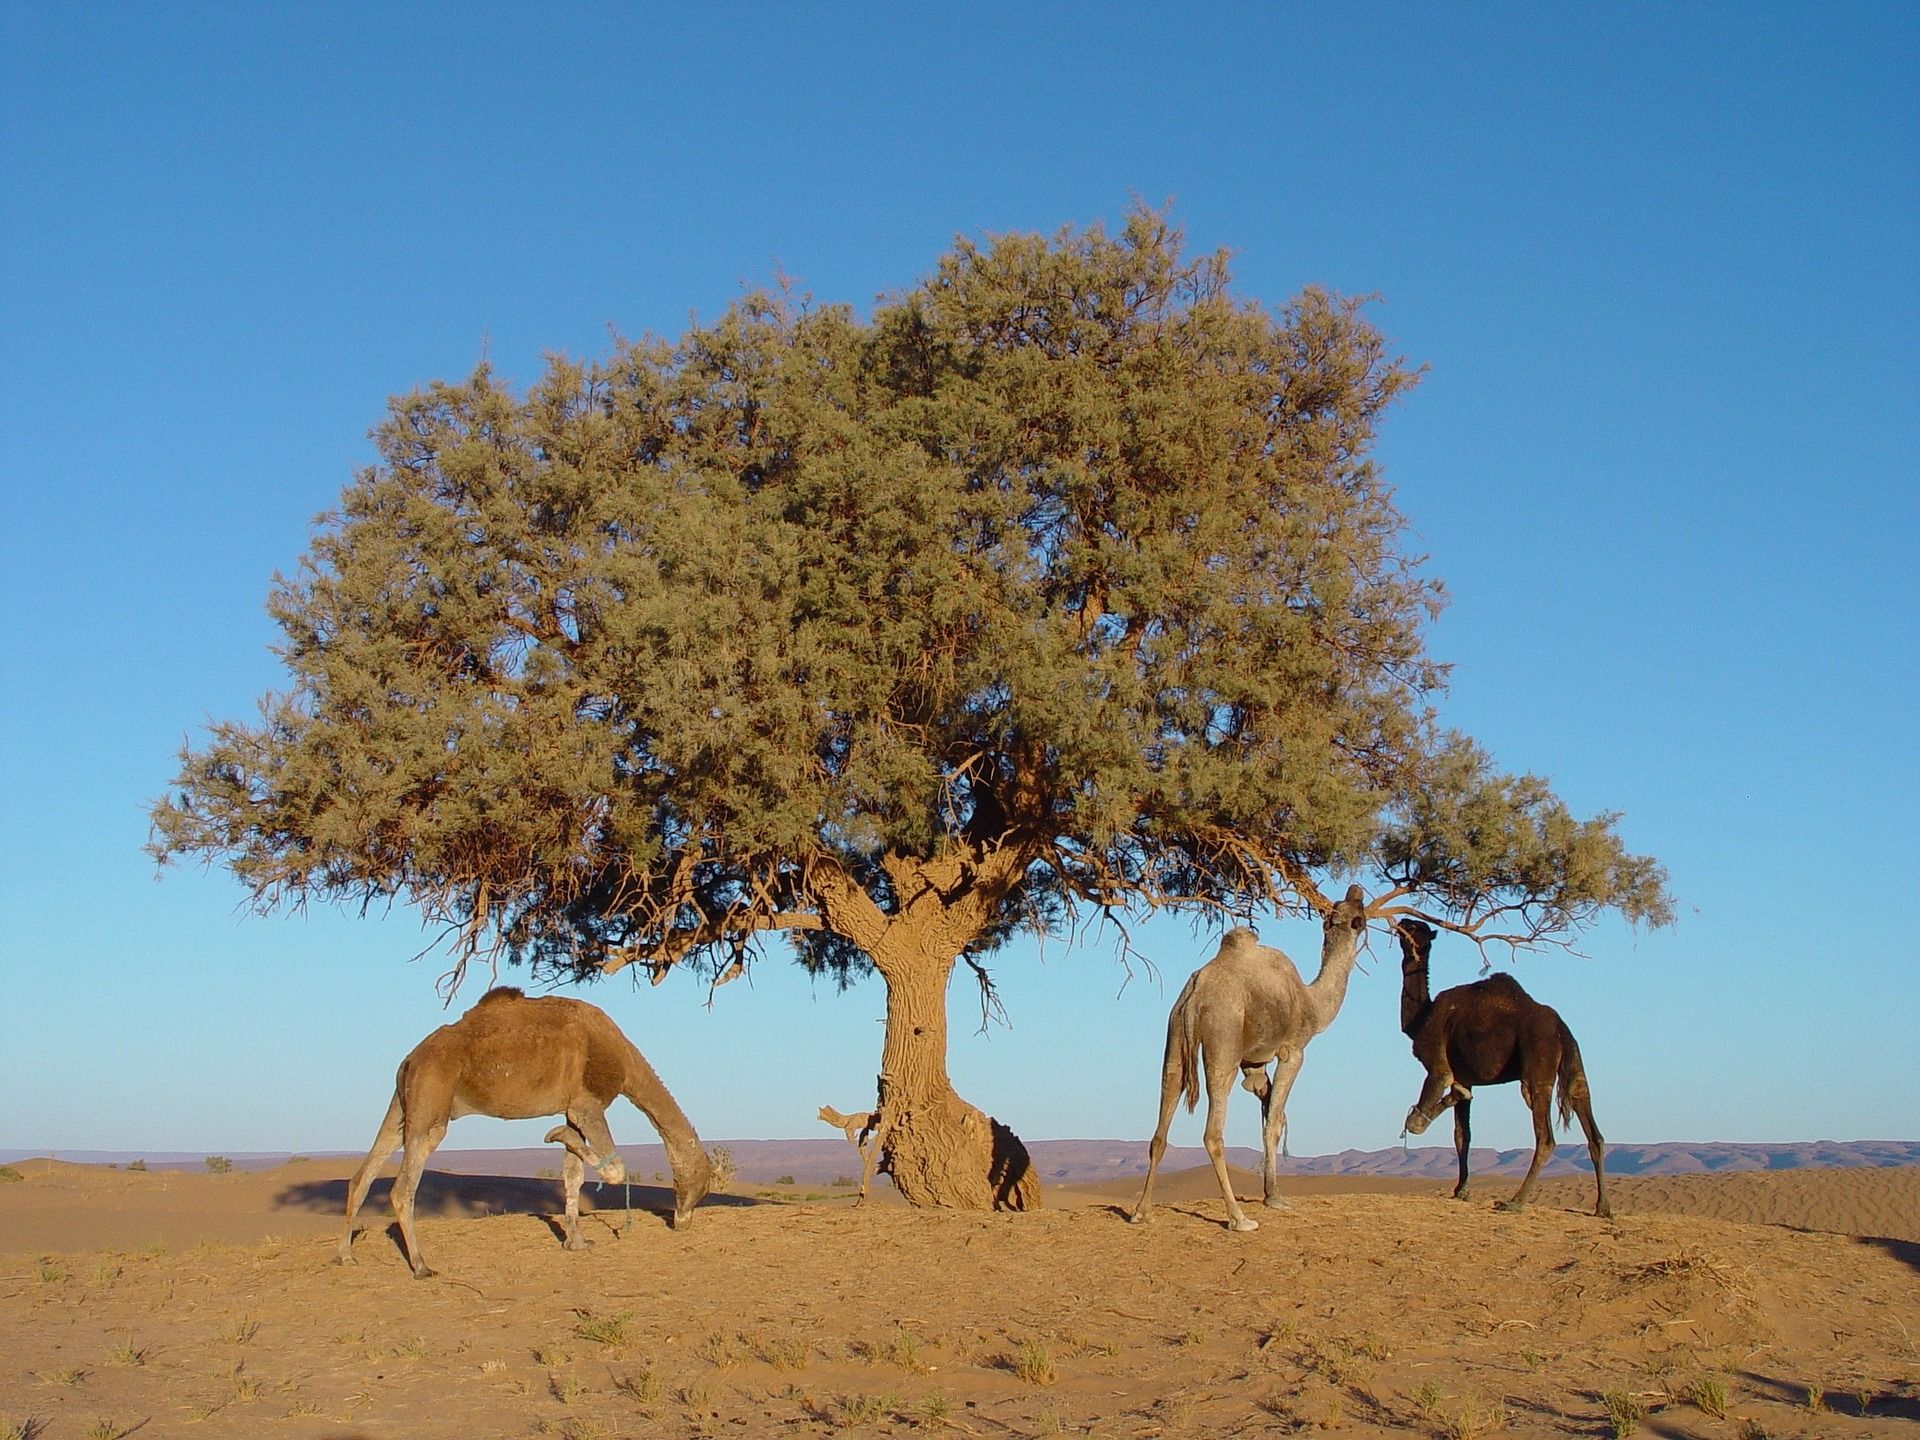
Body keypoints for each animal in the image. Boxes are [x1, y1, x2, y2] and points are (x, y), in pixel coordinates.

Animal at [337, 990, 714, 1282]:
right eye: (699, 1187)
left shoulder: (573, 1108)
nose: (682, 1222)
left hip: (404, 1106)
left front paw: (576, 1242)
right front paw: (554, 1135)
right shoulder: (588, 1104)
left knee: (362, 1175)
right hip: (432, 1099)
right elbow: (614, 1168)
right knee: (402, 1188)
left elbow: (573, 1174)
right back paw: (421, 1266)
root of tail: (410, 1059)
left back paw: (345, 1255)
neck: (623, 1062)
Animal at [1128, 887, 1374, 1236]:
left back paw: (1142, 1212)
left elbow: (1267, 1110)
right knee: (1213, 1132)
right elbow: (1274, 1121)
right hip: (1223, 1040)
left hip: (1174, 1037)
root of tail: (1195, 995)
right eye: (1360, 919)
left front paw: (1271, 1192)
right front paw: (1275, 1198)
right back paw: (1239, 1218)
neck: (1312, 1003)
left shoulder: (1254, 1063)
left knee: (1161, 1125)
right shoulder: (1292, 1051)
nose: (1357, 891)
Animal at [1390, 925, 1612, 1221]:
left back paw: (1515, 1201)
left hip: (1537, 1064)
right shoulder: (1466, 1076)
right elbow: (1462, 1135)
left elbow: (1425, 1115)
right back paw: (1603, 1207)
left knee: (1545, 1137)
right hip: (1575, 1065)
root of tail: (1560, 1029)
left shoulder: (1439, 1065)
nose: (1400, 923)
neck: (1421, 1018)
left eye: (1412, 929)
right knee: (1591, 1127)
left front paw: (1418, 1119)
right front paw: (1461, 1190)